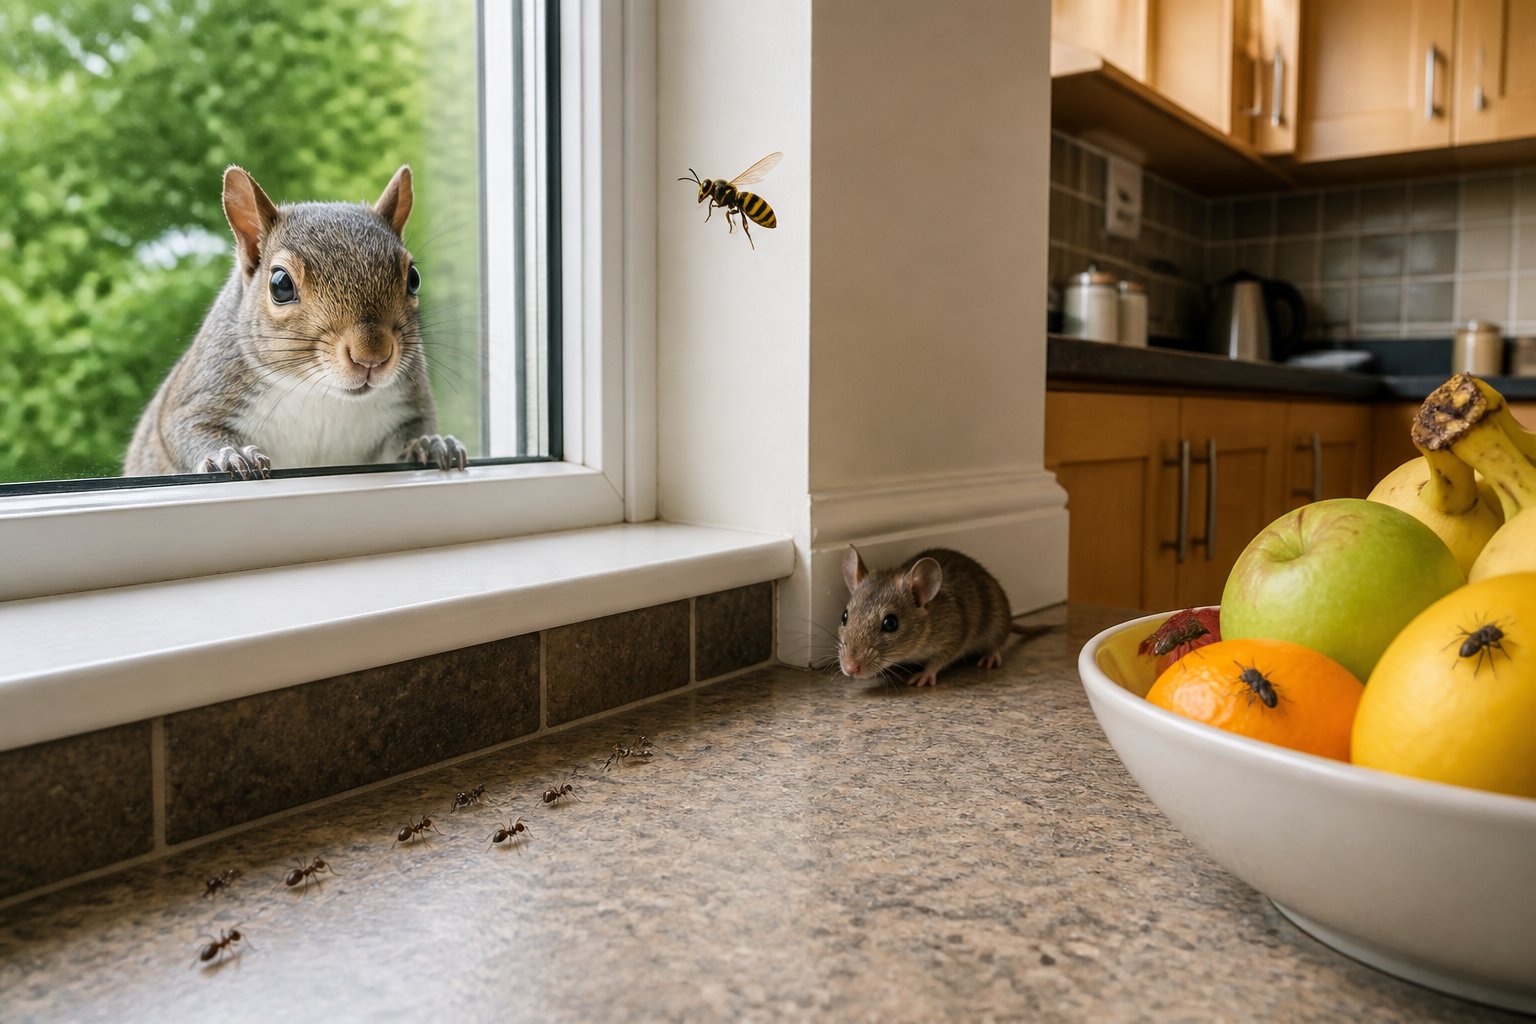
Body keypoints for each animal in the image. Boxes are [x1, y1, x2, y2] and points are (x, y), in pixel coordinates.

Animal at [124, 165, 466, 479]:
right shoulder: (201, 394)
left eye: (414, 279)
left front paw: (431, 444)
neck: (318, 392)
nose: (372, 355)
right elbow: (187, 429)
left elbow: (412, 432)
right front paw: (231, 455)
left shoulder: (409, 405)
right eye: (281, 285)